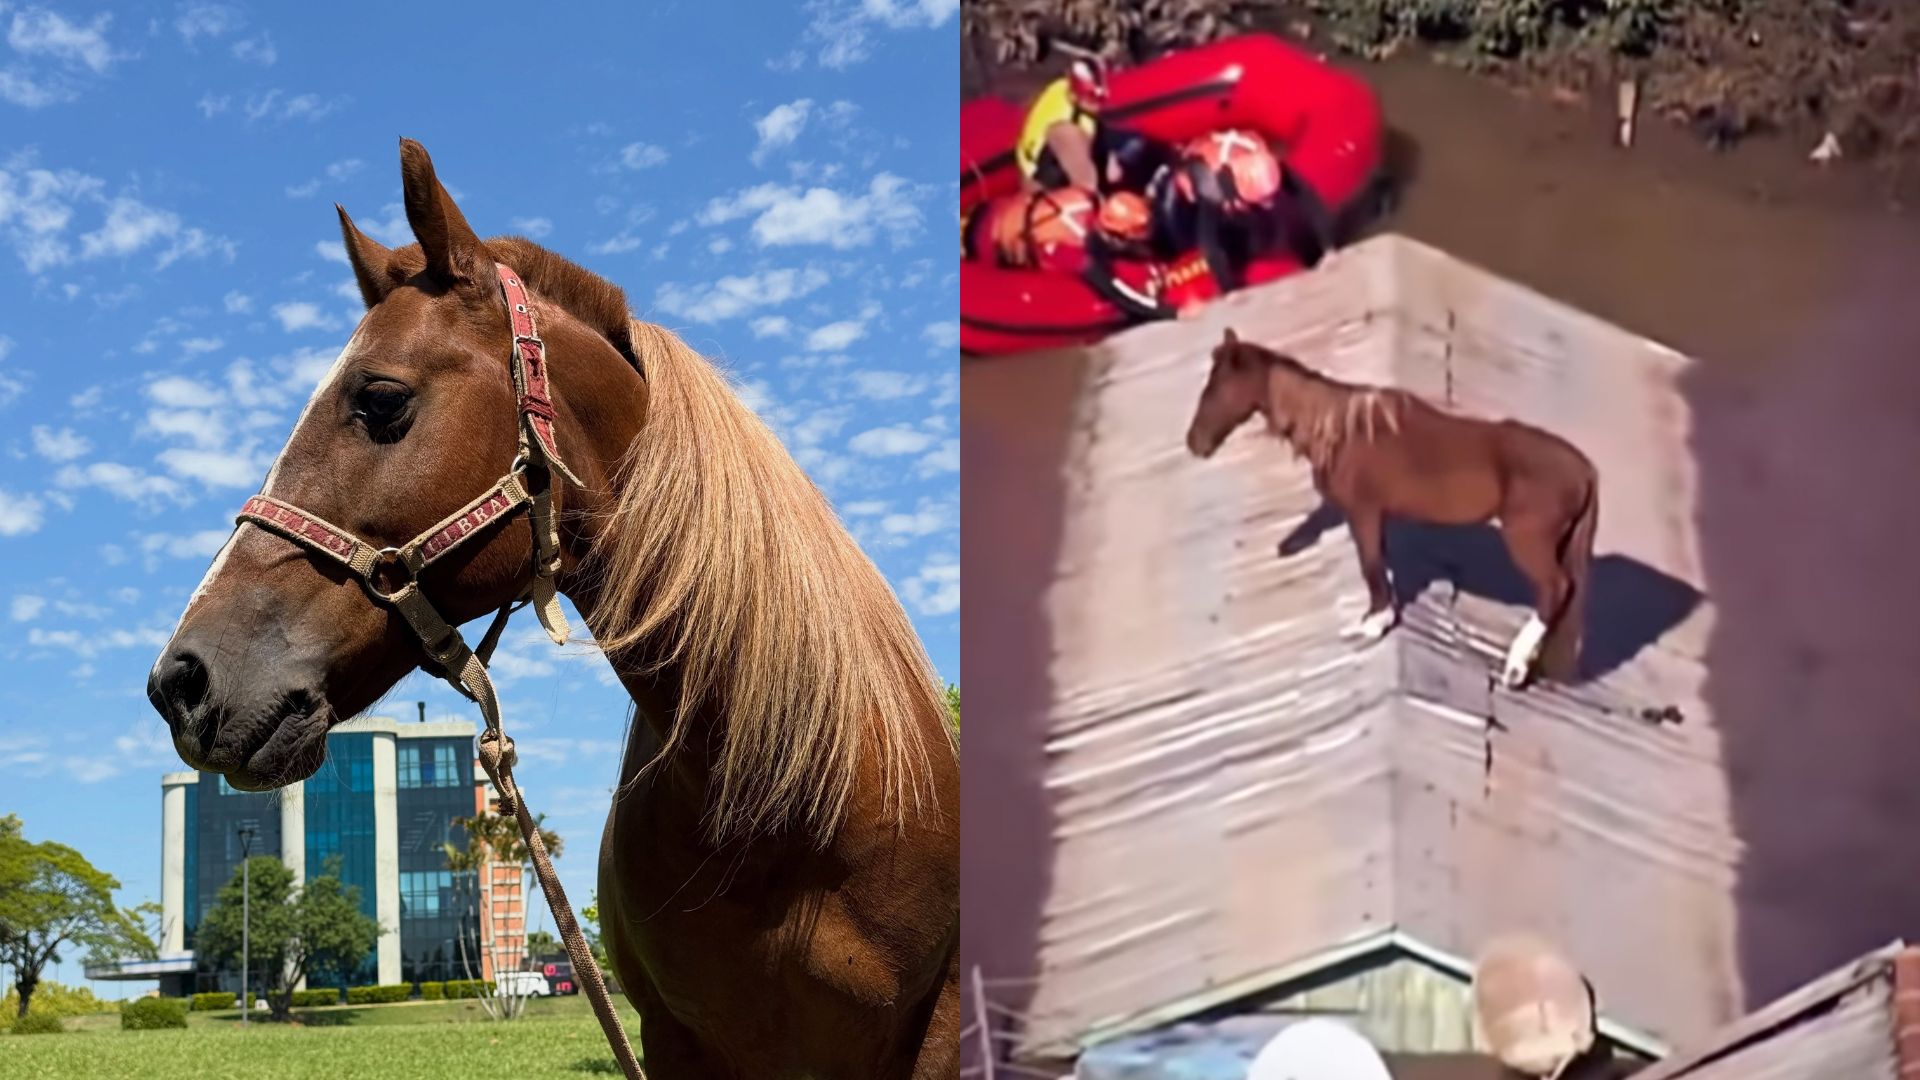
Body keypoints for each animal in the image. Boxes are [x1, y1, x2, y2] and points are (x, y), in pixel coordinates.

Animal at [1184, 329, 1599, 689]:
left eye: (1217, 389)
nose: (1194, 443)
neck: (1343, 430)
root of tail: (1585, 470)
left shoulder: (1363, 512)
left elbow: (1370, 564)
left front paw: (1373, 624)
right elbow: (1379, 563)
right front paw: (1378, 618)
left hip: (1527, 540)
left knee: (1555, 589)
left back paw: (1514, 668)